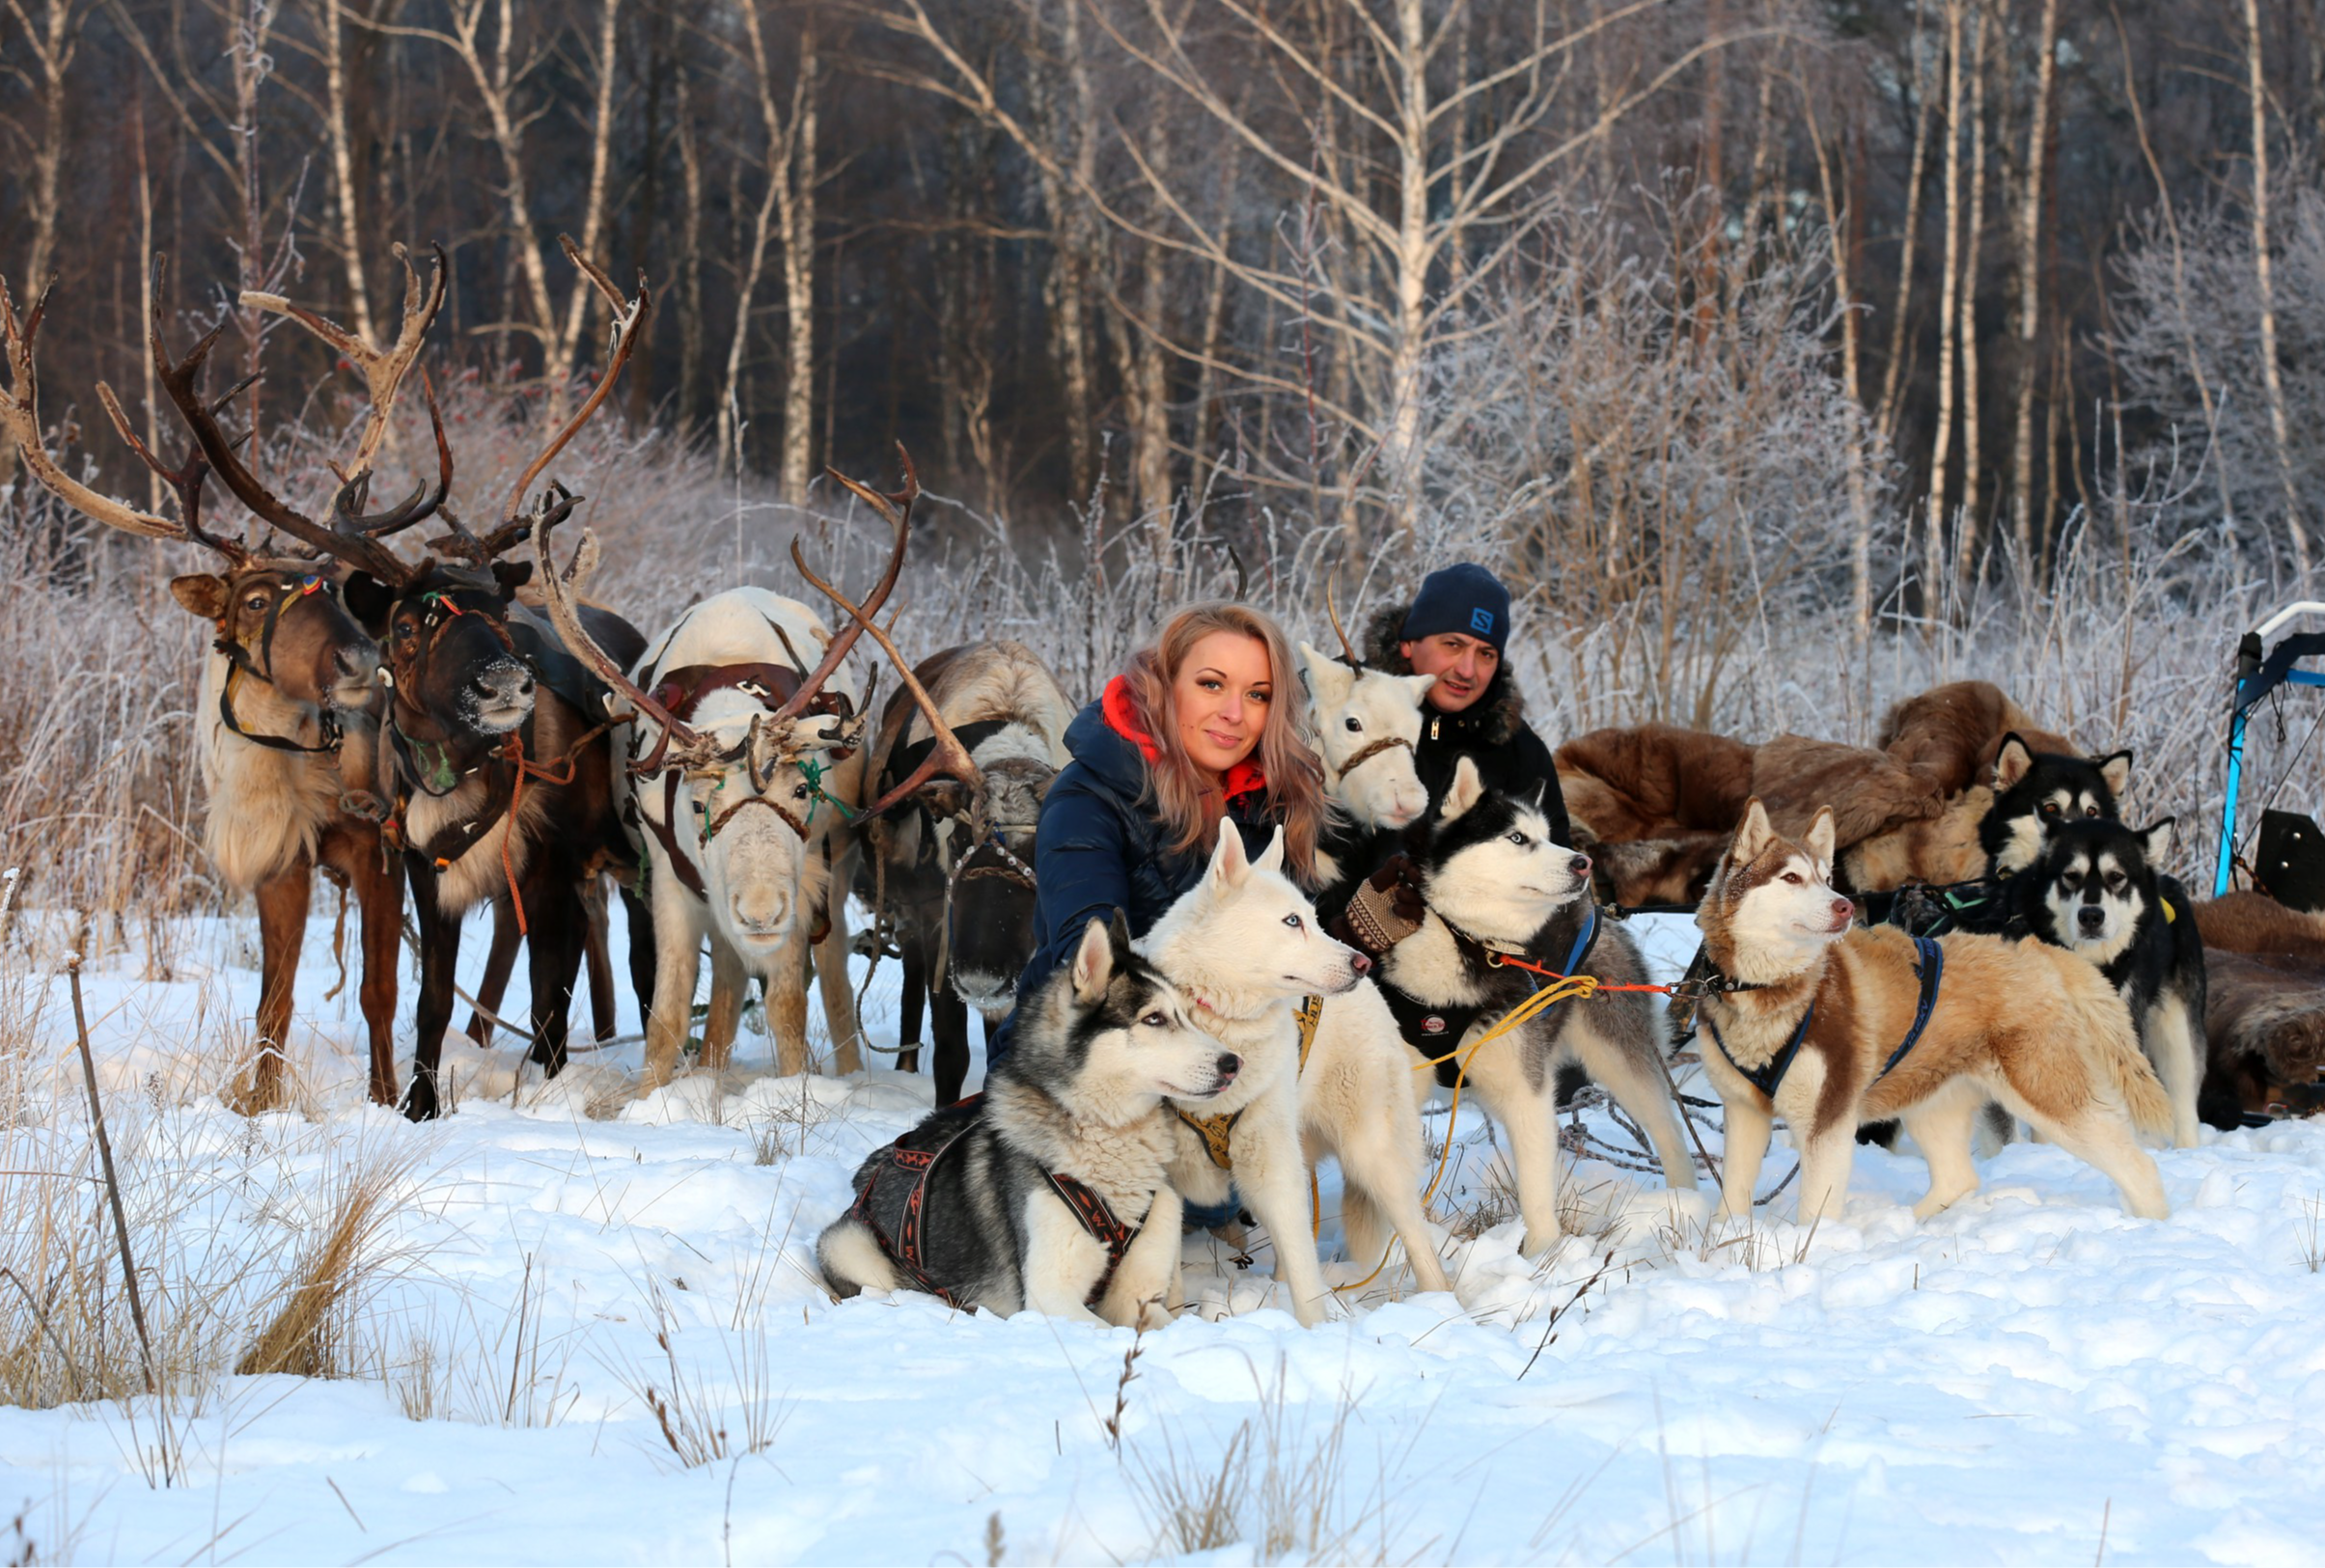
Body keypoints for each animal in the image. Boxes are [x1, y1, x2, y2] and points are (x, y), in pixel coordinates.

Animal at [827, 920, 1246, 1329]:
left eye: (1188, 1015)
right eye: (1154, 1019)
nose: (1233, 1063)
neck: (1112, 1139)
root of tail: (871, 1172)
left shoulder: (1139, 1293)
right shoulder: (1052, 1301)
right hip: (849, 1249)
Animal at [1116, 822, 1441, 1329]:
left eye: (1313, 917)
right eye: (1292, 921)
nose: (1360, 962)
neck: (1219, 1026)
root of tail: (1374, 993)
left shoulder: (1272, 1168)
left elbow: (1309, 1284)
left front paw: (1314, 1333)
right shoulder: (1163, 1182)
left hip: (1372, 1157)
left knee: (1417, 1240)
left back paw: (1445, 1305)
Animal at [1367, 753, 1702, 1254]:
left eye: (1545, 835)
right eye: (1517, 837)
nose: (1582, 863)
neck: (1467, 944)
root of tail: (1598, 910)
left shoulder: (1526, 1090)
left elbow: (1536, 1192)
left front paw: (1545, 1256)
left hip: (1622, 1061)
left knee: (1670, 1132)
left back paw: (1687, 1207)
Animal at [1692, 799, 2157, 1226]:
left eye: (1826, 879)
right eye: (1791, 877)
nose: (1845, 906)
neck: (1767, 990)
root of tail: (2038, 951)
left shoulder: (1827, 1122)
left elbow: (1814, 1213)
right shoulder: (1744, 1114)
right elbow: (1731, 1199)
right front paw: (1726, 1245)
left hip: (2050, 1096)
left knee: (2139, 1165)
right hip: (1930, 1105)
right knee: (1958, 1179)